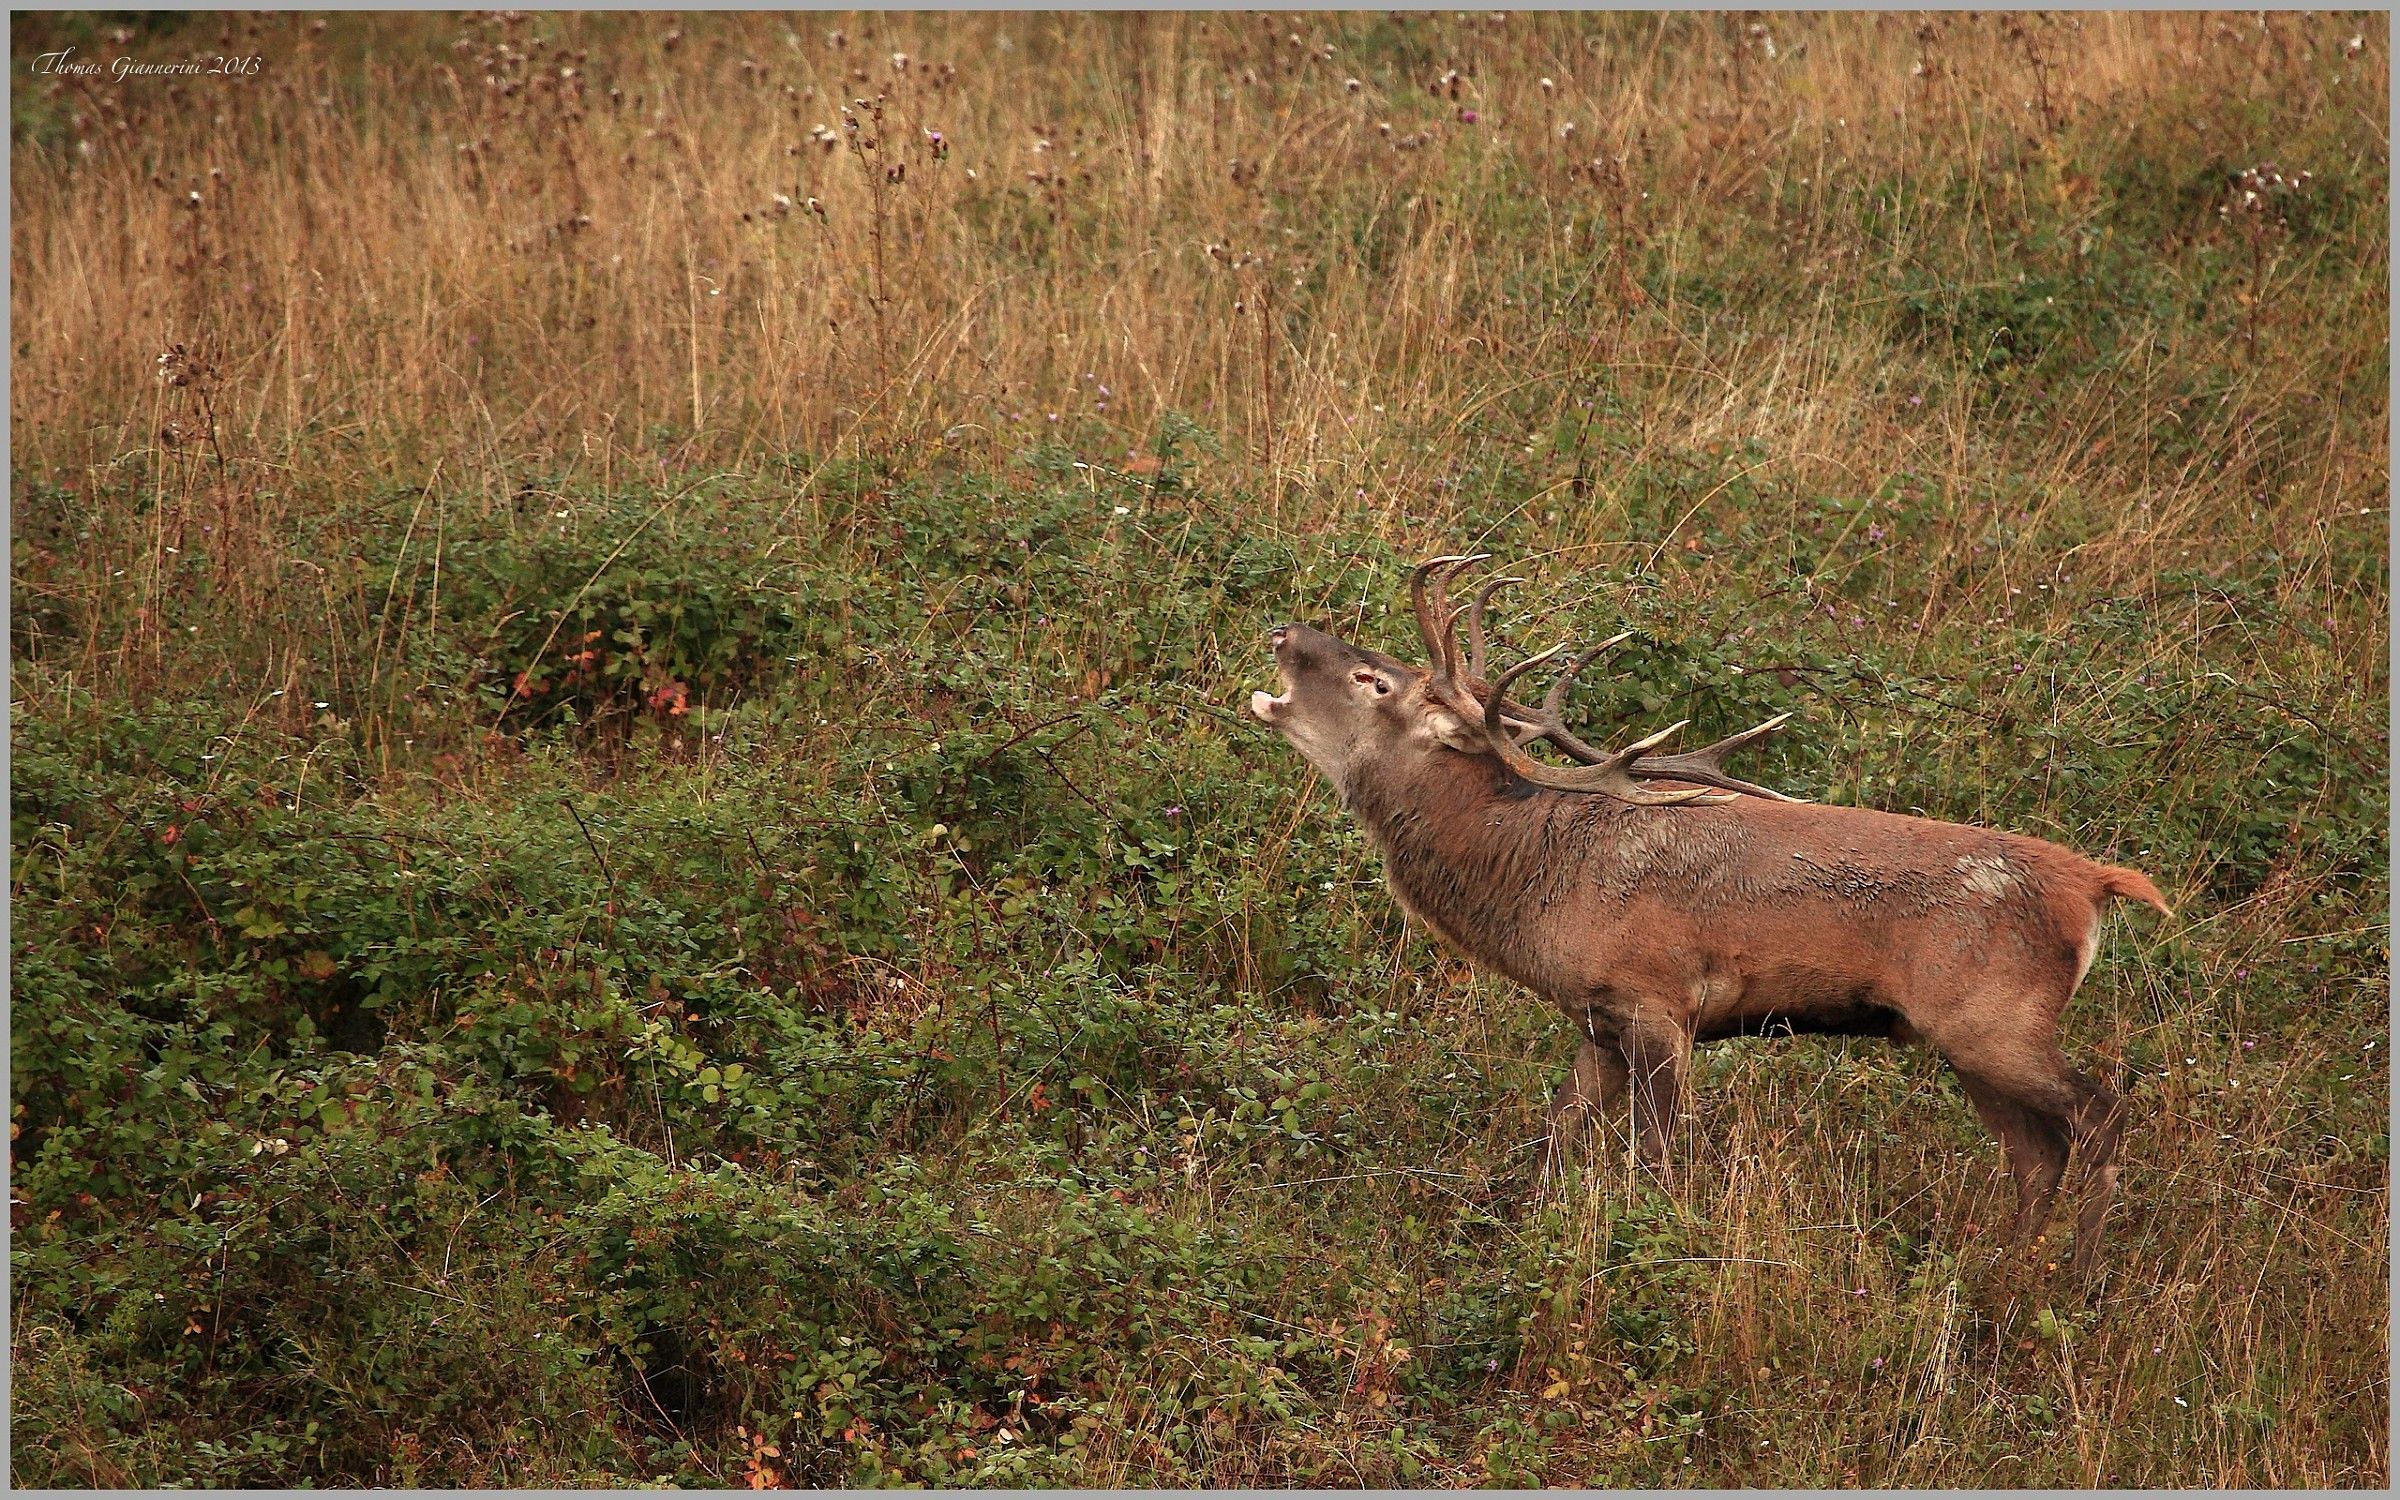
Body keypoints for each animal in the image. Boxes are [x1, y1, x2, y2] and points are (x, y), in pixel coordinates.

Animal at [1247, 552, 2172, 1277]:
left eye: (1375, 680)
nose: (1283, 633)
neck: (1537, 885)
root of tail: (2094, 885)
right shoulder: (1597, 1021)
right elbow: (1554, 1140)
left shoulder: (1661, 1001)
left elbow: (1657, 1158)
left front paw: (1654, 1252)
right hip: (1967, 1038)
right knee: (2035, 1153)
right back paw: (2004, 1270)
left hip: (1996, 1017)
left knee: (2101, 1116)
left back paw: (2077, 1279)